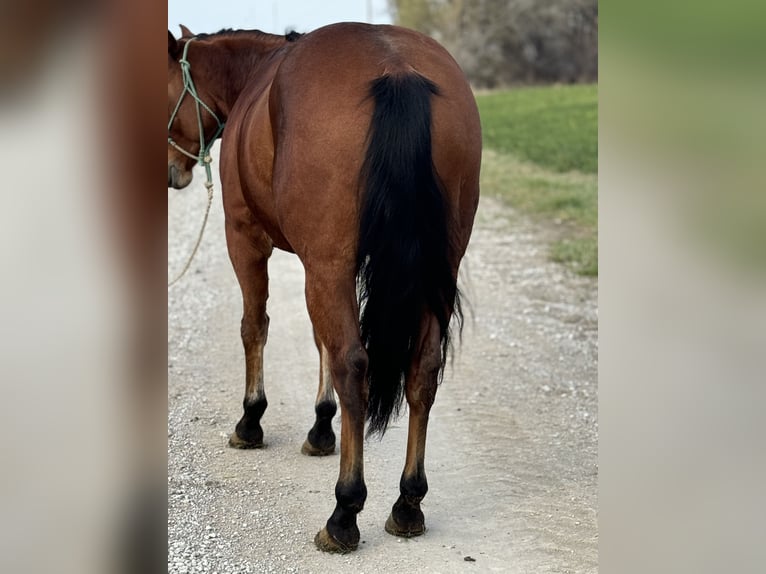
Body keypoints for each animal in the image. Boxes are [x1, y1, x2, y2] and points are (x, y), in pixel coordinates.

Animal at [168, 22, 480, 552]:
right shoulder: (320, 260)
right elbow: (319, 342)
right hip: (436, 267)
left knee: (353, 365)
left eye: (165, 88)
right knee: (422, 369)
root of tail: (396, 69)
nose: (172, 171)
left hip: (326, 263)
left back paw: (344, 512)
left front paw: (251, 420)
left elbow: (255, 326)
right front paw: (320, 427)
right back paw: (407, 504)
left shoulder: (248, 238)